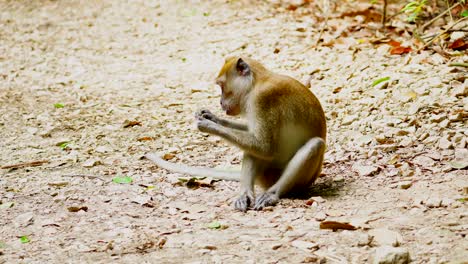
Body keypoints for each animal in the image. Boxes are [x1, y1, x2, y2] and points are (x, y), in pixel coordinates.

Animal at [146, 56, 326, 211]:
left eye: (221, 86)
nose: (220, 102)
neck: (256, 83)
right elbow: (255, 140)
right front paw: (212, 117)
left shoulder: (263, 98)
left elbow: (265, 146)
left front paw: (210, 125)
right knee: (252, 151)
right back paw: (245, 195)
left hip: (298, 181)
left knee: (314, 145)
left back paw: (272, 194)